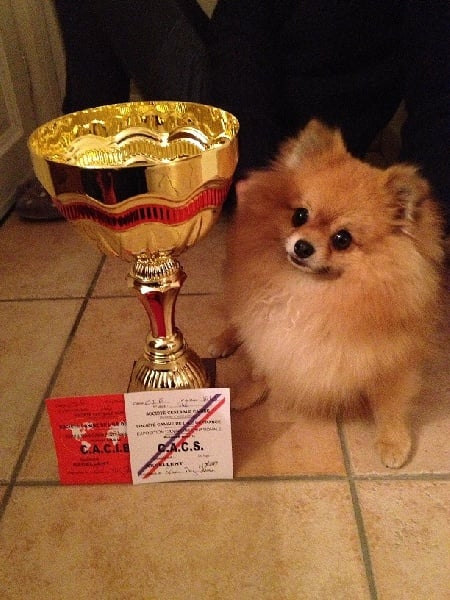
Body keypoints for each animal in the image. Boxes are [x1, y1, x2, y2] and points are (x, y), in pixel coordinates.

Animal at [209, 119, 445, 468]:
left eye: (342, 239)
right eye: (300, 215)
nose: (302, 246)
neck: (312, 293)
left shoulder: (394, 358)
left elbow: (390, 402)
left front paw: (393, 442)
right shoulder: (271, 332)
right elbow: (262, 365)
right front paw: (247, 391)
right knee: (235, 320)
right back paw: (222, 341)